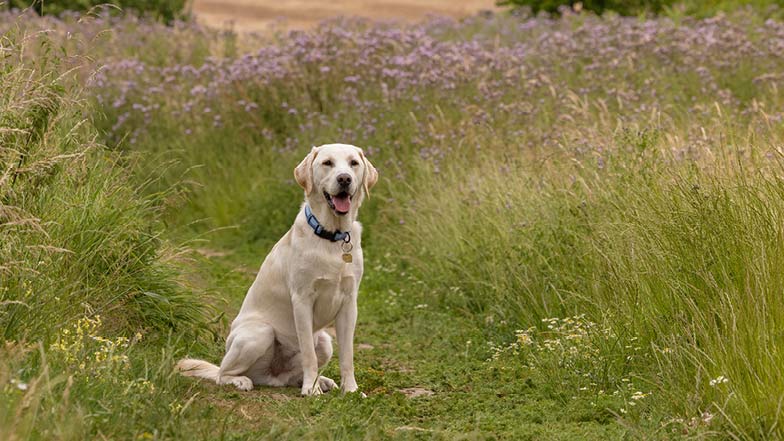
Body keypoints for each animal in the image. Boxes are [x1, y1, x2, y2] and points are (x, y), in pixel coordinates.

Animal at [176, 144, 378, 396]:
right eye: (328, 163)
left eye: (353, 163)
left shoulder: (350, 303)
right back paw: (242, 381)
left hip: (324, 341)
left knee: (292, 375)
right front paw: (311, 390)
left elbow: (347, 356)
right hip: (259, 333)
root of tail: (271, 376)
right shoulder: (302, 300)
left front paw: (350, 390)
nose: (344, 179)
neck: (331, 236)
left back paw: (321, 381)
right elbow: (308, 355)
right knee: (222, 373)